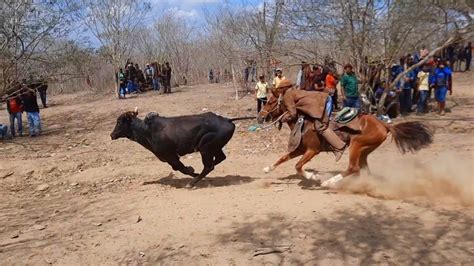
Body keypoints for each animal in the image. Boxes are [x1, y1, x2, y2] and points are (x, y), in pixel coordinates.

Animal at [110, 109, 256, 188]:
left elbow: (181, 168)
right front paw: (193, 171)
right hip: (214, 148)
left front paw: (192, 171)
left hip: (205, 148)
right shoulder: (170, 157)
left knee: (209, 166)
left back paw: (192, 183)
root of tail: (227, 120)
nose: (112, 135)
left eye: (119, 122)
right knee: (220, 159)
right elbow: (179, 168)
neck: (148, 131)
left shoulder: (171, 156)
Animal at [260, 90, 434, 186]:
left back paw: (328, 182)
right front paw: (267, 168)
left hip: (356, 144)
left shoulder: (312, 150)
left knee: (353, 168)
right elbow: (283, 158)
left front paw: (314, 176)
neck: (304, 122)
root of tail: (384, 124)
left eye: (270, 101)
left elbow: (297, 166)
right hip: (364, 150)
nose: (261, 115)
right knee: (362, 169)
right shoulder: (301, 149)